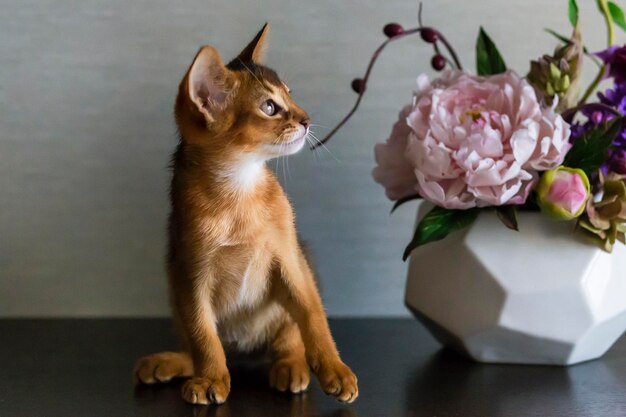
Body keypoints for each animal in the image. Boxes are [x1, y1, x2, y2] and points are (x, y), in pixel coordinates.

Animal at [133, 24, 356, 404]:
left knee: (289, 340)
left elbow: (313, 317)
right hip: (173, 287)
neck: (238, 193)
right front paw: (212, 379)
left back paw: (291, 366)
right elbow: (203, 335)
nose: (307, 119)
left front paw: (335, 369)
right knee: (203, 346)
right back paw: (173, 363)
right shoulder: (191, 273)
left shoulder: (290, 259)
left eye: (291, 95)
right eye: (269, 106)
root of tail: (245, 350)